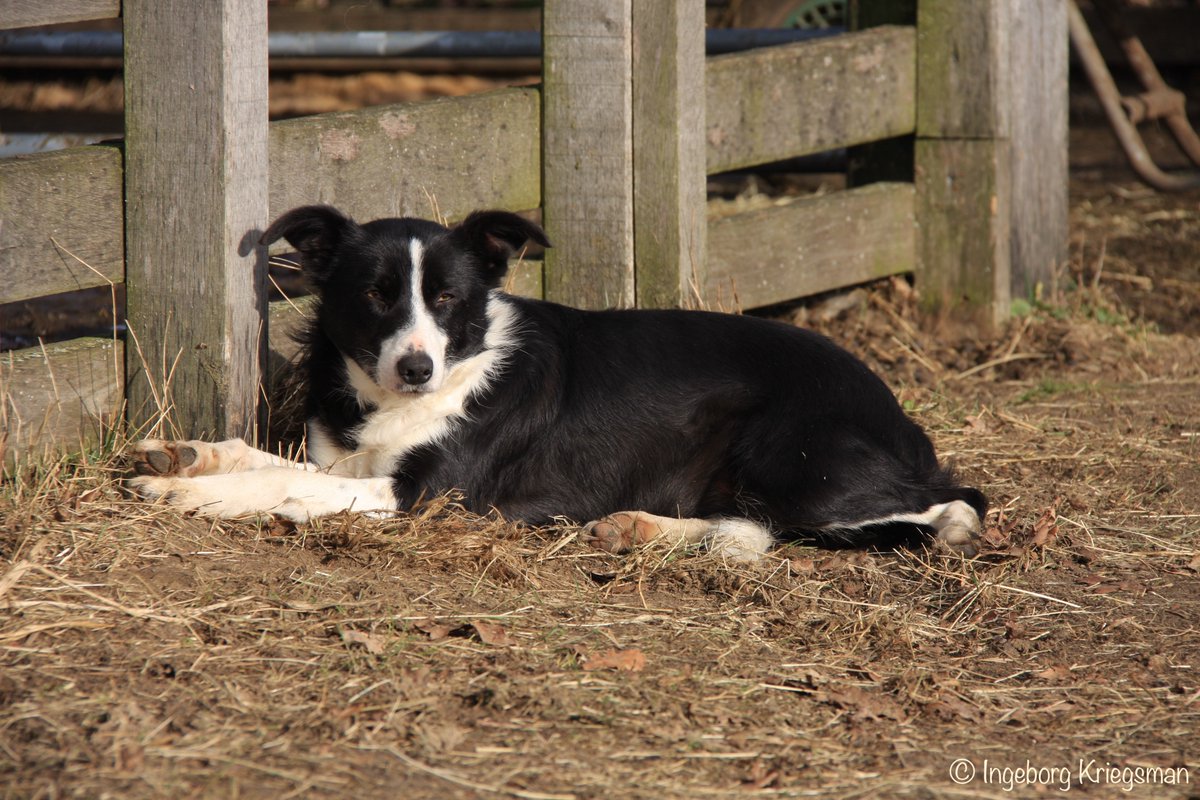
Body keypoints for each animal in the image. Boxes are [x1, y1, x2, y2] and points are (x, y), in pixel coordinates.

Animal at [129, 203, 984, 561]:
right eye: (375, 294)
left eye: (449, 297)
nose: (417, 367)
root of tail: (902, 419)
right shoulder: (348, 457)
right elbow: (276, 461)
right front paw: (189, 458)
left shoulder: (430, 494)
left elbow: (290, 484)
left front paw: (194, 496)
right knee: (757, 524)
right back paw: (640, 529)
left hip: (794, 455)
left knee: (948, 509)